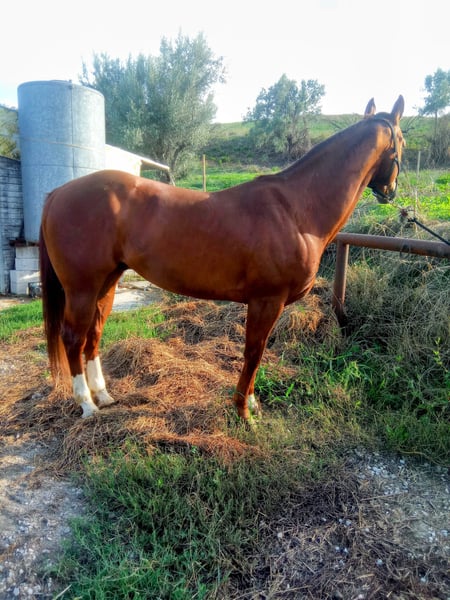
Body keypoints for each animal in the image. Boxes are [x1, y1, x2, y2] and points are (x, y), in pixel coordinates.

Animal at [39, 96, 405, 420]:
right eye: (402, 141)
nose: (390, 192)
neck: (295, 210)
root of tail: (58, 193)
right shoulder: (266, 300)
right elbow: (254, 351)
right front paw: (244, 411)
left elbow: (258, 352)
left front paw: (252, 403)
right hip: (82, 288)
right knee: (73, 337)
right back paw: (86, 405)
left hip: (106, 284)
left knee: (93, 335)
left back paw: (103, 396)